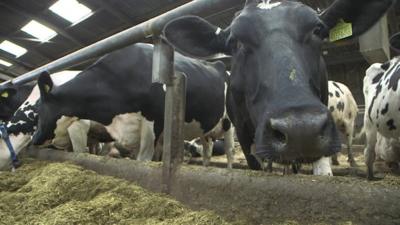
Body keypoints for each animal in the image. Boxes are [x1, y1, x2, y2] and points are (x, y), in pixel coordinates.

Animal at [32, 42, 236, 169]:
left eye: (38, 111)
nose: (34, 139)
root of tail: (220, 66)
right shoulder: (131, 128)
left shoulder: (153, 123)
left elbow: (143, 159)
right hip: (206, 130)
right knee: (207, 151)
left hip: (229, 124)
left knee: (229, 151)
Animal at [162, 0, 394, 176]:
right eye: (235, 42)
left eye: (318, 30)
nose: (301, 129)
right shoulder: (244, 134)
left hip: (349, 121)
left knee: (349, 143)